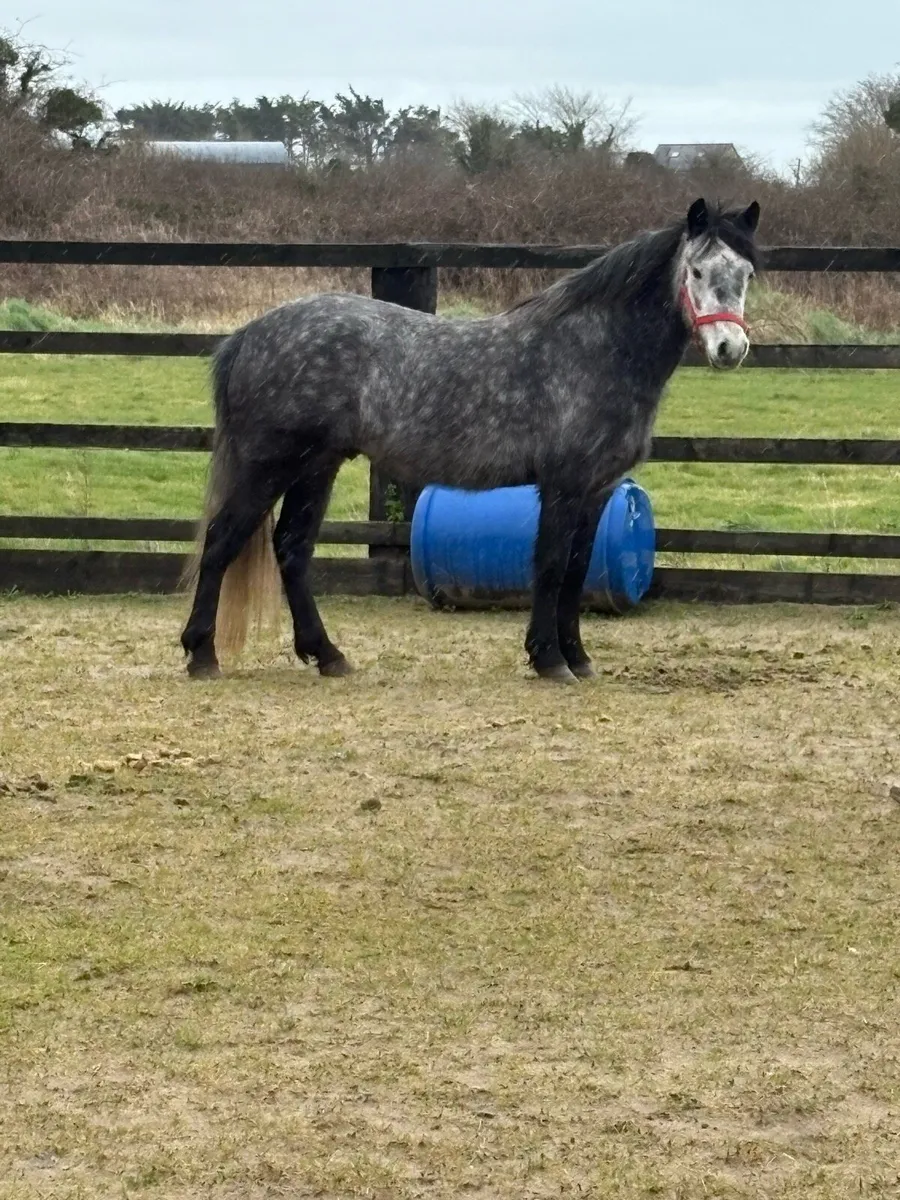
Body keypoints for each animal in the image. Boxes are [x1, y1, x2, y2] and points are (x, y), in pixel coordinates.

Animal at [181, 196, 760, 684]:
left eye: (747, 273)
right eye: (697, 271)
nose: (729, 348)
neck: (594, 349)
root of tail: (248, 336)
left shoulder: (598, 490)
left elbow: (577, 572)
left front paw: (577, 657)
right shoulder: (563, 485)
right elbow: (551, 567)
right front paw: (549, 660)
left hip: (315, 466)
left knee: (292, 549)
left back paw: (328, 656)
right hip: (268, 464)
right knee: (222, 542)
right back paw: (202, 655)